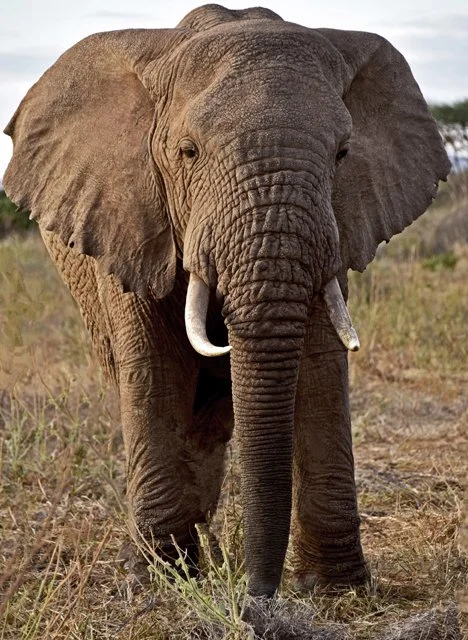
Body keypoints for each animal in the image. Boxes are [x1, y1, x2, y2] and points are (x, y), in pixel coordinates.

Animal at [3, 4, 450, 598]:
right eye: (187, 152)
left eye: (343, 153)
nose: (258, 597)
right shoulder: (131, 218)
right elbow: (155, 369)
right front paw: (161, 583)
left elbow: (320, 365)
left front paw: (337, 590)